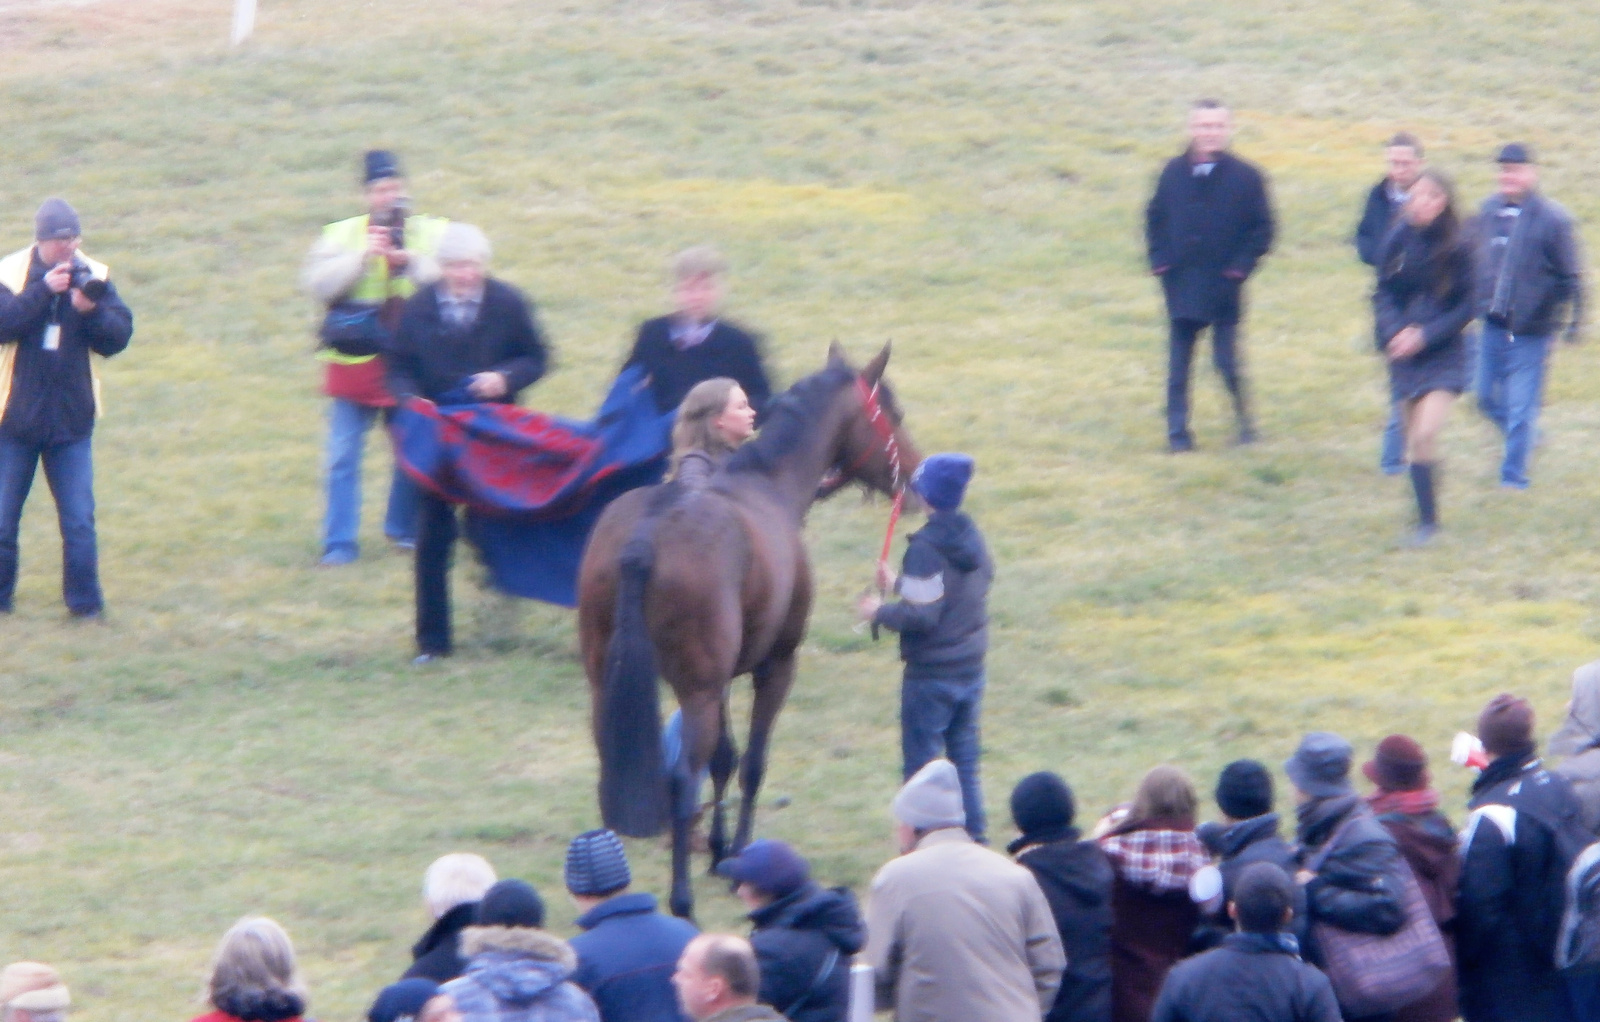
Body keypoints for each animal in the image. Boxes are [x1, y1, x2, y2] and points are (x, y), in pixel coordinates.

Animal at [582, 342, 921, 921]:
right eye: (893, 413)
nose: (918, 478)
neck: (766, 484)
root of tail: (644, 538)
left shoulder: (719, 679)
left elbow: (726, 758)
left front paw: (720, 852)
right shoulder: (775, 664)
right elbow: (753, 763)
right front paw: (740, 854)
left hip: (608, 678)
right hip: (694, 690)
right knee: (681, 779)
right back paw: (680, 901)